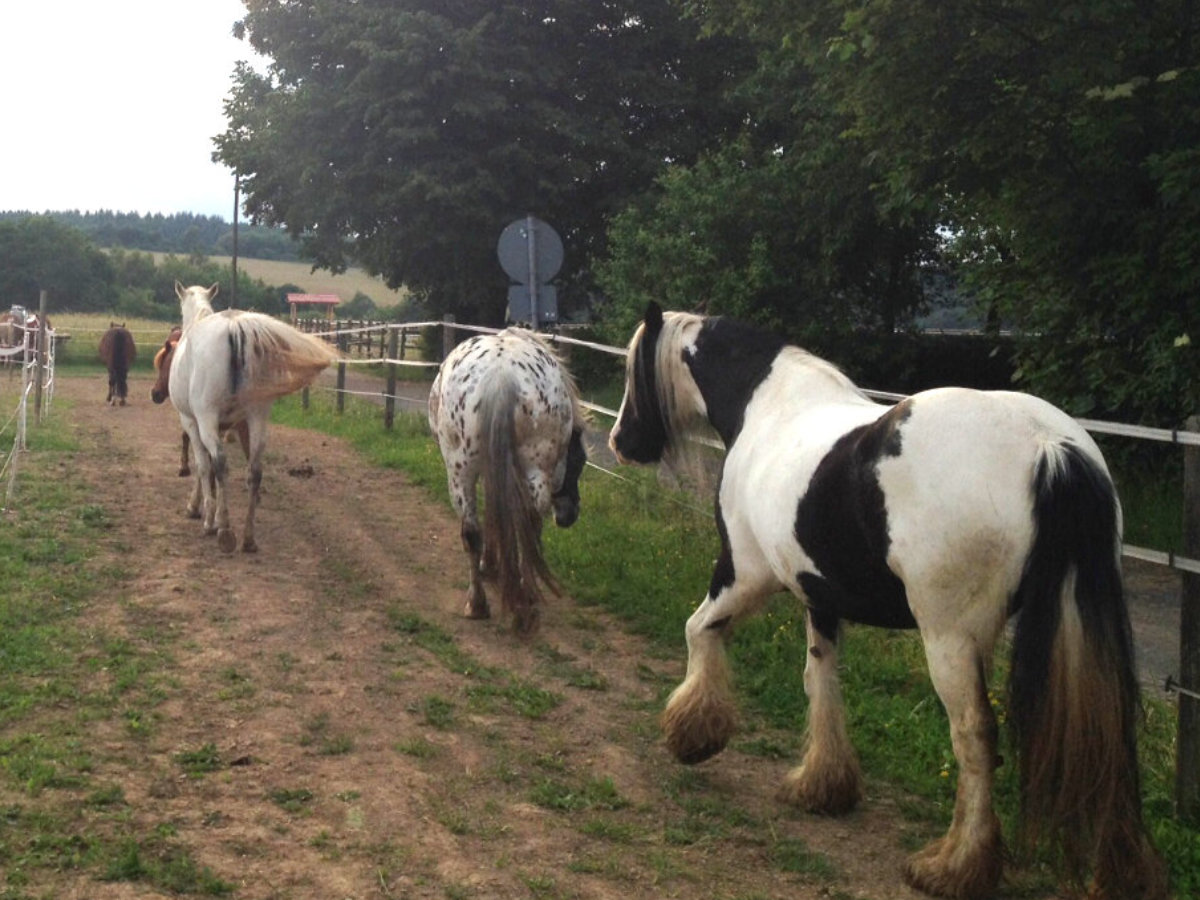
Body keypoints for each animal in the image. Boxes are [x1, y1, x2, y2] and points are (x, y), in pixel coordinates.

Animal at [166, 282, 339, 553]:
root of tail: (234, 328)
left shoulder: (192, 422)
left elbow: (204, 466)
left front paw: (203, 513)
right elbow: (210, 469)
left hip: (207, 420)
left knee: (221, 463)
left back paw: (224, 530)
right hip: (257, 419)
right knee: (255, 470)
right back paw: (248, 538)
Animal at [428, 328, 588, 635]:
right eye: (579, 461)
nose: (569, 514)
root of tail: (501, 377)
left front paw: (490, 565)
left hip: (460, 471)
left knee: (472, 531)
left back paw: (478, 604)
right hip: (531, 471)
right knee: (529, 523)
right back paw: (523, 600)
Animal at [608, 303, 1166, 900]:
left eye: (632, 368)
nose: (621, 440)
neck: (769, 407)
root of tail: (1047, 446)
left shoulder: (744, 575)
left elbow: (699, 630)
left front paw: (692, 733)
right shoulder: (819, 595)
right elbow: (820, 679)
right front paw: (823, 784)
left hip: (948, 637)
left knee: (975, 736)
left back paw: (954, 865)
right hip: (1075, 626)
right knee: (1107, 738)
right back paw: (1117, 875)